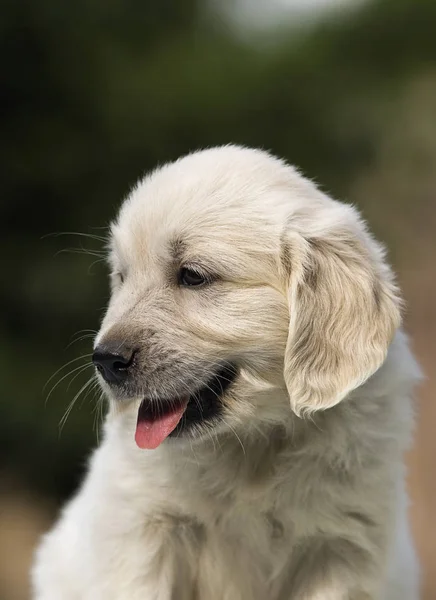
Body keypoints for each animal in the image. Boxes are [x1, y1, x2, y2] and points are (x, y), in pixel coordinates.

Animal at [32, 146, 420, 600]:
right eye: (122, 277)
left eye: (193, 276)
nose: (105, 359)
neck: (251, 446)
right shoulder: (141, 528)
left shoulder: (341, 546)